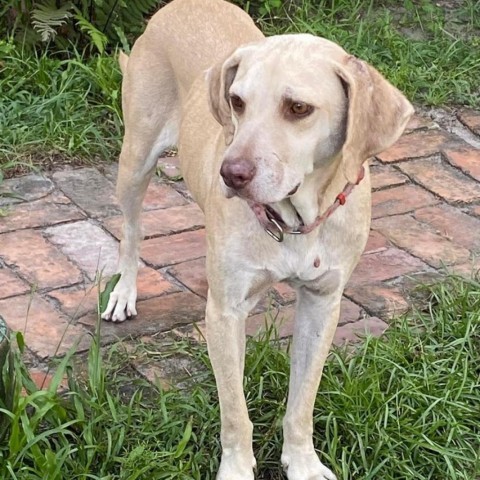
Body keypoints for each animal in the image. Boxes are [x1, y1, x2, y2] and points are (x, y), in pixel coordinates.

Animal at [103, 1, 414, 478]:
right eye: (237, 102)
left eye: (299, 107)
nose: (230, 174)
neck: (296, 221)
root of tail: (178, 6)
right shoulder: (225, 313)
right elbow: (235, 411)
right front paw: (236, 467)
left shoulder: (323, 304)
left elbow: (302, 402)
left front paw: (303, 463)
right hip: (135, 161)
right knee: (131, 232)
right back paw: (124, 291)